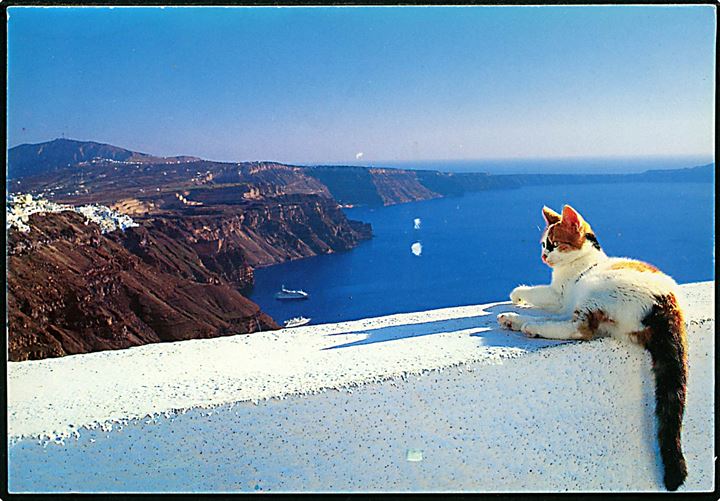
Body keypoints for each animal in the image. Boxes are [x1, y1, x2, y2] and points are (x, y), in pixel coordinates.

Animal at [498, 205, 688, 490]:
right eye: (542, 244)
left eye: (553, 244)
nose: (543, 256)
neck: (585, 259)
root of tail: (667, 303)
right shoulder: (560, 297)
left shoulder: (557, 295)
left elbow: (537, 292)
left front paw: (517, 296)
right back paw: (515, 320)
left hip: (593, 294)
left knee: (579, 328)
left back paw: (526, 323)